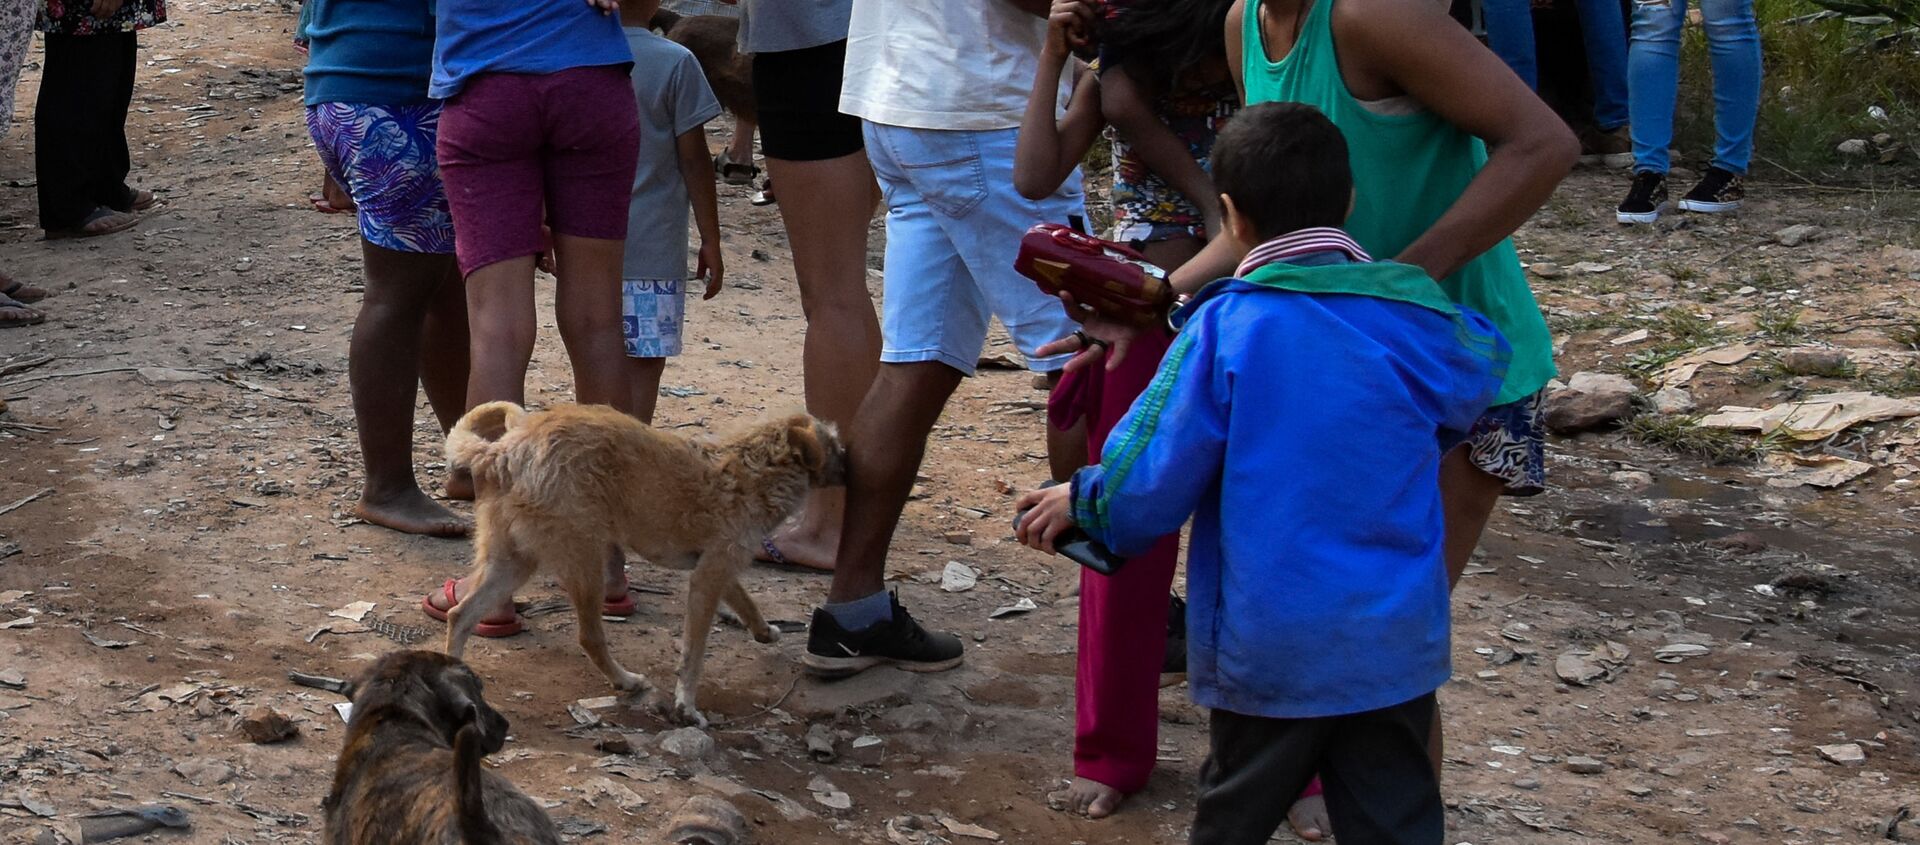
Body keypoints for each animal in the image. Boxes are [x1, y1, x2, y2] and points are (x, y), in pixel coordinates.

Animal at [443, 403, 848, 725]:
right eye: (836, 446)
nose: (855, 465)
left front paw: (766, 631)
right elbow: (694, 654)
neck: (757, 467)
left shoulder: (717, 568)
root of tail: (505, 450)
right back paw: (625, 680)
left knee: (460, 615)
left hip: (512, 562)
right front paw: (687, 707)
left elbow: (747, 602)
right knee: (590, 637)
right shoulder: (707, 578)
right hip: (586, 561)